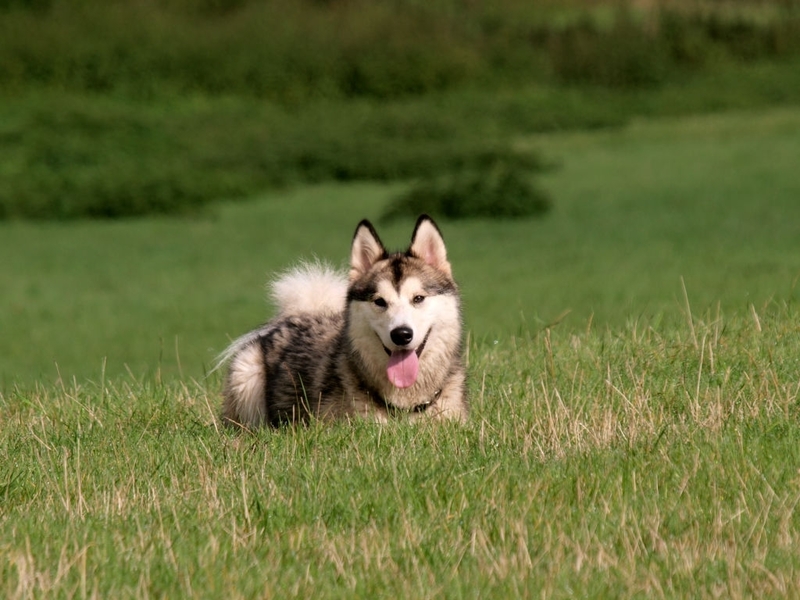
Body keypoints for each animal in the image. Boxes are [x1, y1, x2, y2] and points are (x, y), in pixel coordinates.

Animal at [219, 214, 468, 426]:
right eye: (380, 301)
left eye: (418, 298)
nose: (401, 334)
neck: (404, 404)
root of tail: (301, 314)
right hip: (246, 374)